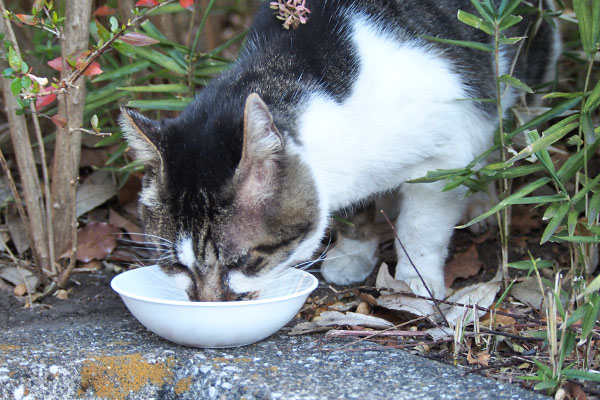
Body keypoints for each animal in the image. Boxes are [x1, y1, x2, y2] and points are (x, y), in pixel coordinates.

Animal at [119, 0, 560, 300]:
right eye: (177, 266)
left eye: (242, 261)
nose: (209, 304)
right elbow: (355, 214)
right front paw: (353, 253)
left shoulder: (444, 158)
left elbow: (421, 230)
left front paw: (415, 282)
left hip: (521, 84)